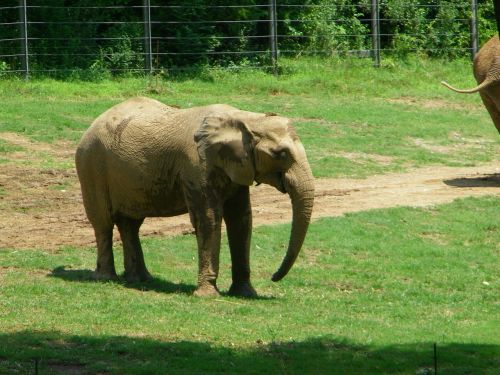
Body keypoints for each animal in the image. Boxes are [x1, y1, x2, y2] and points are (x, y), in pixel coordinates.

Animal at [74, 98, 314, 298]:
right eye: (280, 154)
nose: (274, 277)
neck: (245, 119)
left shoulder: (237, 169)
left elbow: (242, 220)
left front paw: (245, 293)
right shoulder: (195, 167)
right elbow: (208, 219)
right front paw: (207, 295)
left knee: (130, 224)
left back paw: (141, 279)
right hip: (91, 165)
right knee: (103, 222)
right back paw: (106, 278)